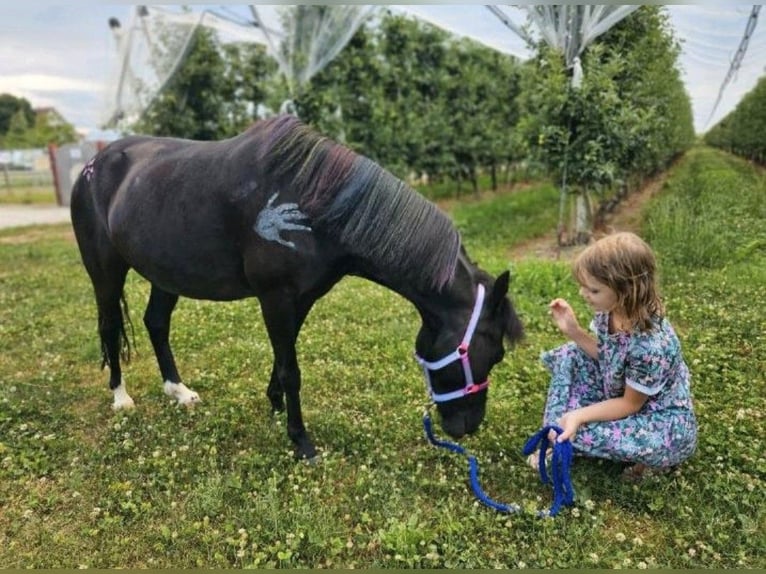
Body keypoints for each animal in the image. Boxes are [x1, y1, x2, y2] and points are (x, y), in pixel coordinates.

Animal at [70, 115, 524, 459]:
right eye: (495, 353)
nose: (466, 428)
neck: (314, 203)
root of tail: (94, 164)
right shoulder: (276, 297)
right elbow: (291, 369)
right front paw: (301, 440)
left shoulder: (300, 299)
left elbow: (282, 360)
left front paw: (274, 404)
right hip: (105, 272)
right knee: (110, 326)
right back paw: (121, 398)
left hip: (166, 273)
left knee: (156, 323)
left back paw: (178, 391)